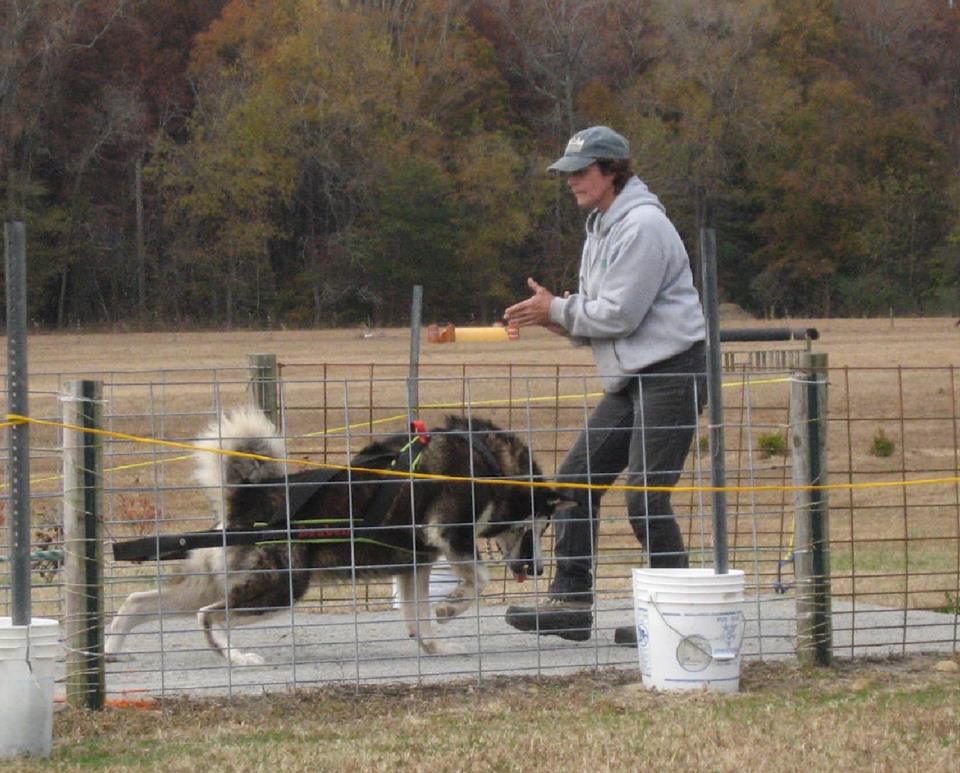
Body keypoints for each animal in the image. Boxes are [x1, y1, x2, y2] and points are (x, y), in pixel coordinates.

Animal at [106, 408, 568, 668]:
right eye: (539, 526)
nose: (539, 569)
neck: (487, 462)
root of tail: (252, 496)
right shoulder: (451, 537)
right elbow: (479, 582)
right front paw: (450, 608)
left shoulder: (414, 566)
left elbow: (418, 622)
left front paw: (436, 646)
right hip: (282, 587)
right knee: (208, 616)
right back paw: (236, 658)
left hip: (218, 580)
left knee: (139, 601)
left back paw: (110, 650)